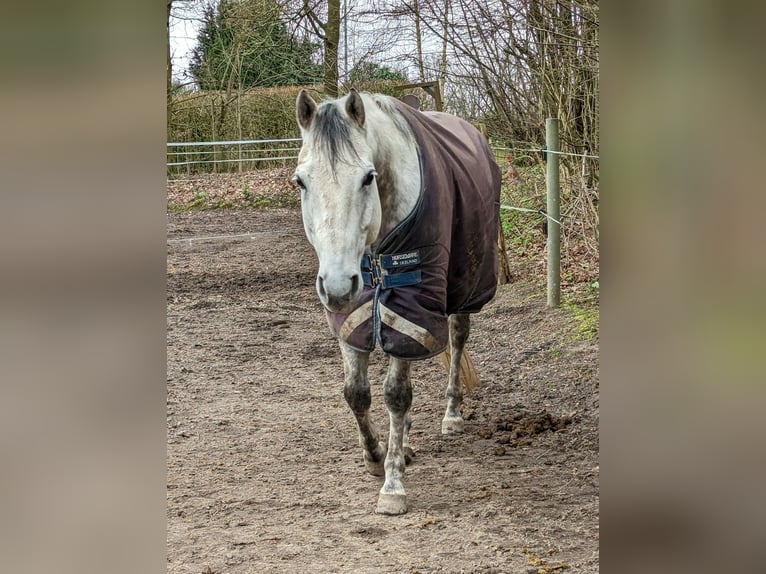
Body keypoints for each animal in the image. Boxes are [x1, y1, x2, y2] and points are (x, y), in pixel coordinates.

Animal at [294, 90, 504, 516]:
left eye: (367, 177)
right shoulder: (354, 313)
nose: (336, 285)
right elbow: (356, 392)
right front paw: (376, 457)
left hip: (461, 289)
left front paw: (392, 484)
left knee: (457, 339)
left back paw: (451, 414)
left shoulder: (409, 306)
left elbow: (396, 393)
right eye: (301, 181)